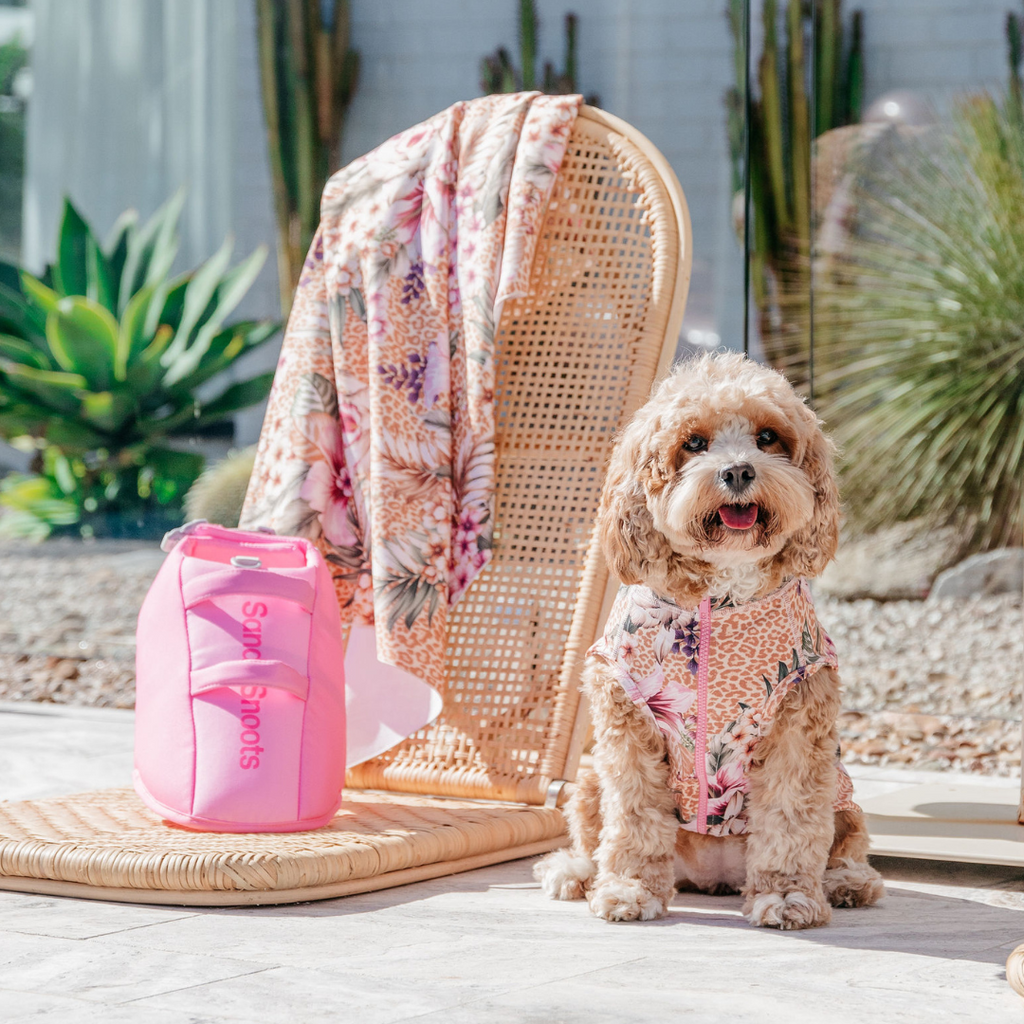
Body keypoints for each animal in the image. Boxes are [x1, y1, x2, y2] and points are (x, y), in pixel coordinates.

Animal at [540, 352, 884, 929]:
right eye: (694, 442)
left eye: (768, 437)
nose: (739, 470)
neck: (721, 596)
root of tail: (712, 876)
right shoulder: (625, 722)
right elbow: (633, 819)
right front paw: (630, 889)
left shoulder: (798, 721)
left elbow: (791, 821)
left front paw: (787, 897)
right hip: (587, 780)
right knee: (593, 834)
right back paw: (575, 871)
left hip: (843, 794)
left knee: (845, 844)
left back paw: (846, 882)